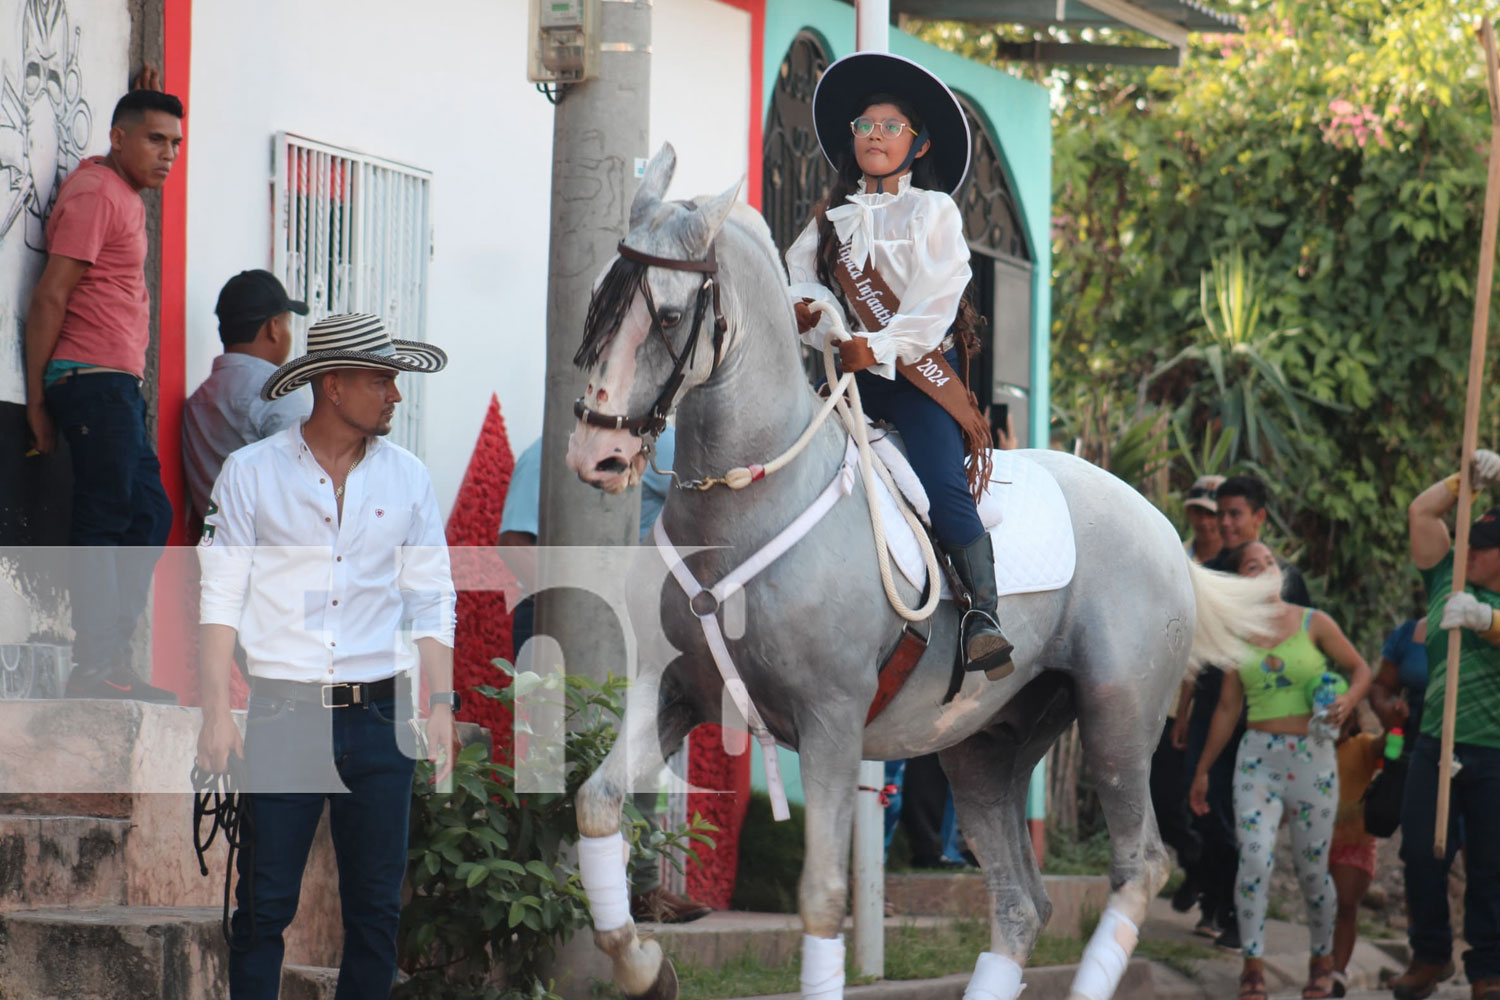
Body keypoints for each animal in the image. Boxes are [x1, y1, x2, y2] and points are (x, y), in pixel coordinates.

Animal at [567, 146, 1272, 1000]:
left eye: (669, 316)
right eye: (600, 298)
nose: (598, 453)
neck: (748, 507)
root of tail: (1162, 525)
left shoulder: (832, 722)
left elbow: (822, 897)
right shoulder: (673, 688)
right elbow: (598, 804)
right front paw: (645, 965)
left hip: (1119, 719)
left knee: (1138, 866)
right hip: (982, 745)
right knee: (1020, 900)